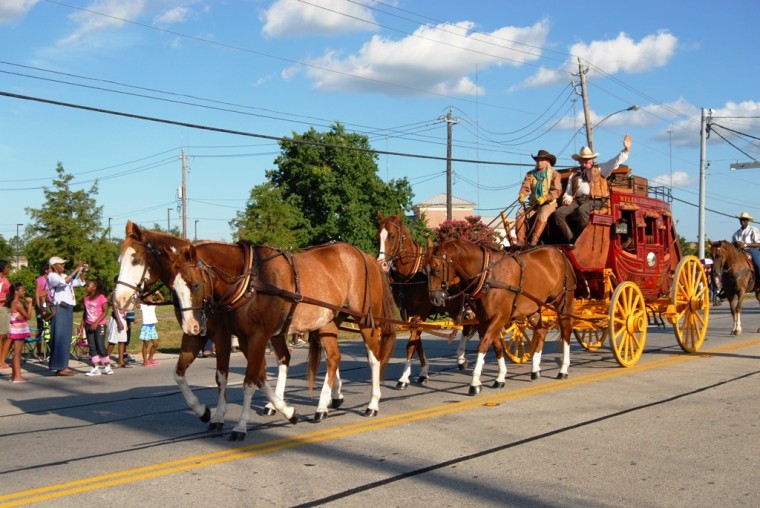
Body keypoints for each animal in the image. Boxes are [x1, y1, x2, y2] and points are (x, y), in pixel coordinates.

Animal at [166, 240, 398, 438]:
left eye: (195, 284)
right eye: (173, 288)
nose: (191, 326)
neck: (252, 280)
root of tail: (365, 256)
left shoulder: (255, 336)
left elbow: (249, 381)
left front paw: (241, 425)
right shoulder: (243, 337)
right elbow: (255, 376)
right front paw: (286, 410)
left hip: (365, 320)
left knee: (373, 358)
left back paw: (372, 403)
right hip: (328, 322)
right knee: (332, 357)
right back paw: (324, 403)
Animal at [378, 211, 478, 388]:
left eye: (392, 236)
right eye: (378, 236)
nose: (381, 264)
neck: (410, 275)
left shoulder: (421, 312)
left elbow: (411, 343)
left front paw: (404, 377)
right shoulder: (408, 314)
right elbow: (417, 343)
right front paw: (423, 372)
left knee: (468, 327)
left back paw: (461, 358)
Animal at [428, 240, 576, 394]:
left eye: (437, 270)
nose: (434, 299)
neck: (488, 276)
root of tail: (559, 252)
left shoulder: (499, 317)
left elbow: (483, 344)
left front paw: (475, 382)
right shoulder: (484, 319)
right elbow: (496, 345)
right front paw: (500, 377)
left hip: (563, 302)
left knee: (566, 330)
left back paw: (563, 369)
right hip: (533, 308)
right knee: (541, 330)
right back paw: (535, 368)